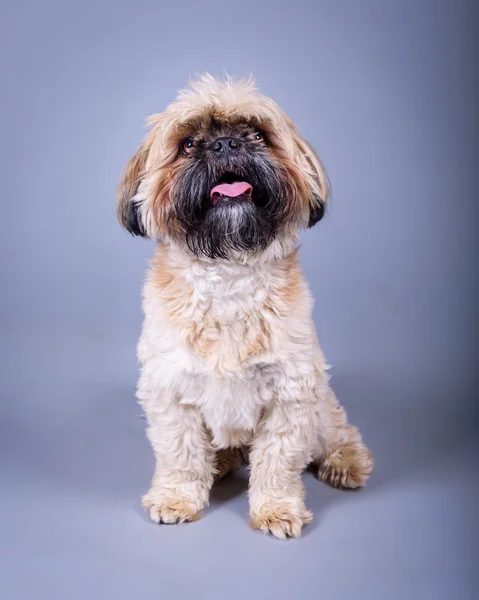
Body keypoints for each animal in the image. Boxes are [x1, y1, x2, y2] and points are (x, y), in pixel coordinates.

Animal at [116, 75, 376, 540]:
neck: (229, 276)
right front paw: (177, 497)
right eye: (188, 144)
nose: (225, 144)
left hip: (322, 404)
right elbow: (180, 453)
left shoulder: (292, 392)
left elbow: (279, 459)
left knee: (336, 428)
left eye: (256, 134)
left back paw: (346, 460)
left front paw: (276, 508)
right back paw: (219, 463)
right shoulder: (169, 390)